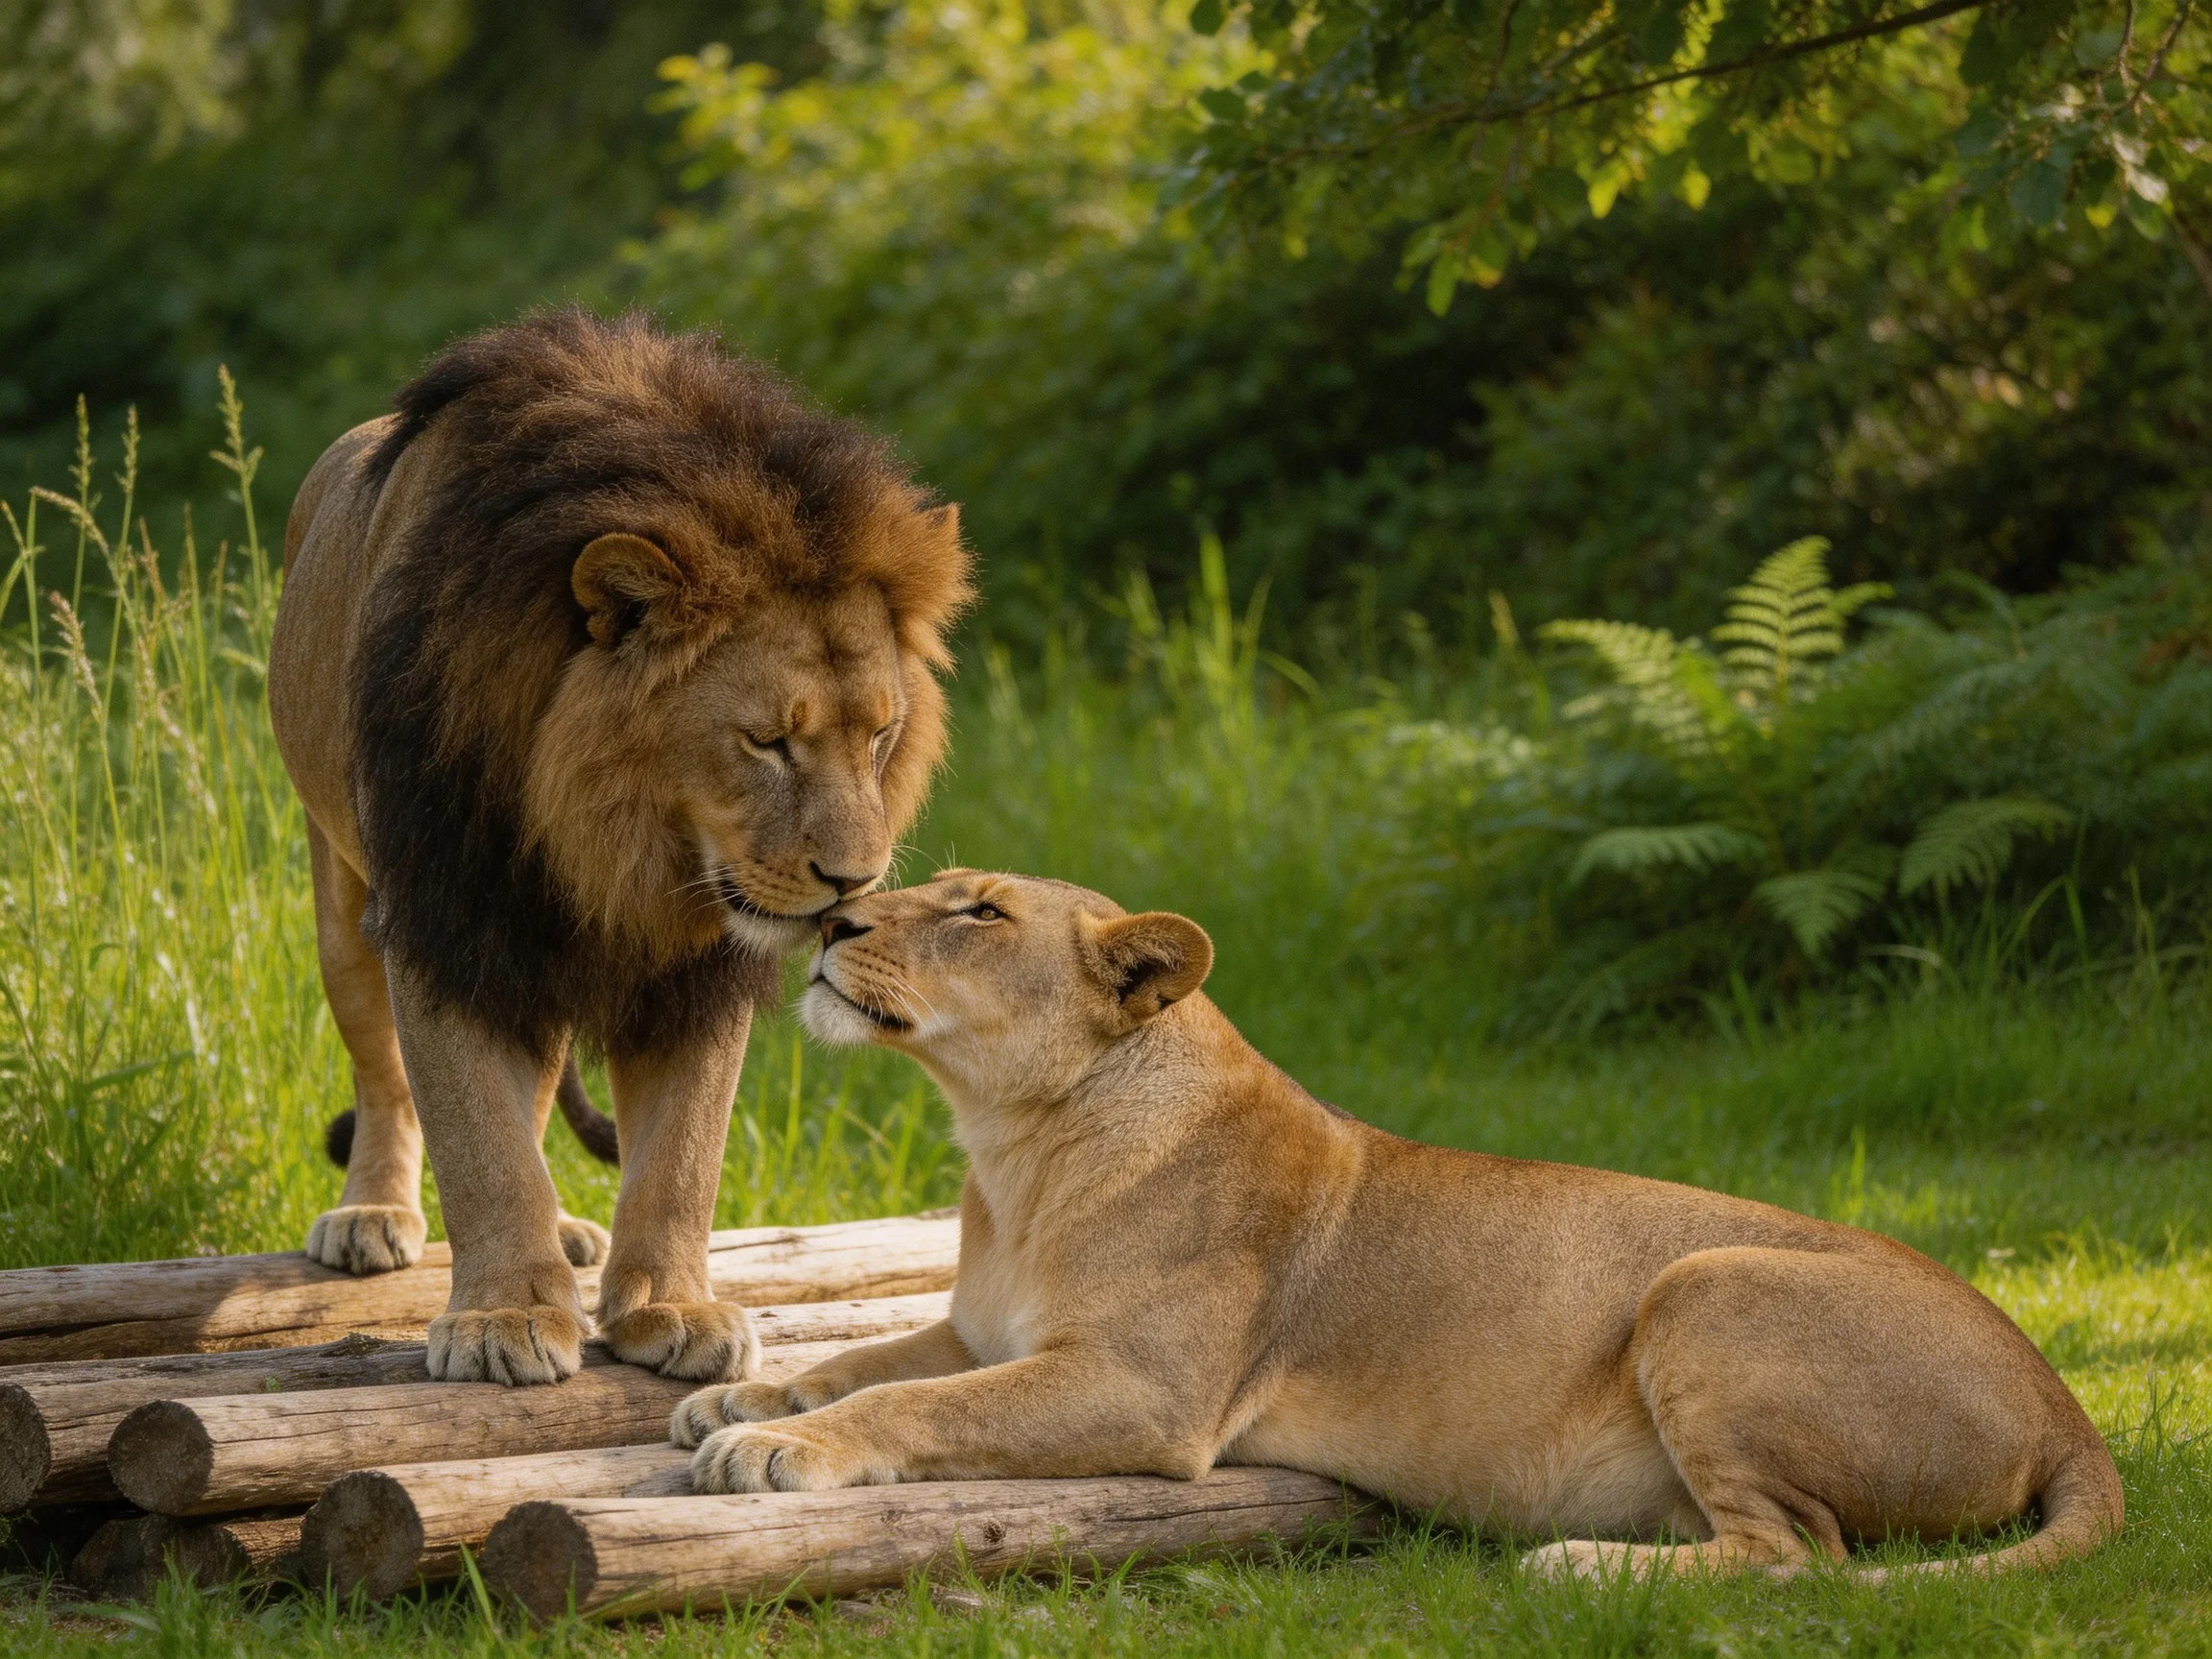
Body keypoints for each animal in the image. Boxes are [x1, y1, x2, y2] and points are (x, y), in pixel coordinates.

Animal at [267, 311, 971, 1387]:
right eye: (767, 741)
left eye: (882, 735)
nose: (852, 883)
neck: (620, 844)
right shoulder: (444, 911)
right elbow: (476, 1137)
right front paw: (505, 1317)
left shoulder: (698, 968)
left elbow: (682, 1155)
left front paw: (669, 1306)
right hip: (342, 897)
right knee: (385, 1076)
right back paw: (374, 1213)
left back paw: (564, 1233)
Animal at [669, 870, 2122, 1580]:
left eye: (977, 913)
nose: (834, 918)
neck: (1014, 1152)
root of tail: (2069, 1408)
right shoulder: (985, 1328)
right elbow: (874, 1359)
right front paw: (742, 1400)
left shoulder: (1149, 1393)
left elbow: (917, 1405)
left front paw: (778, 1450)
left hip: (1707, 1282)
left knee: (1800, 1557)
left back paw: (1582, 1565)